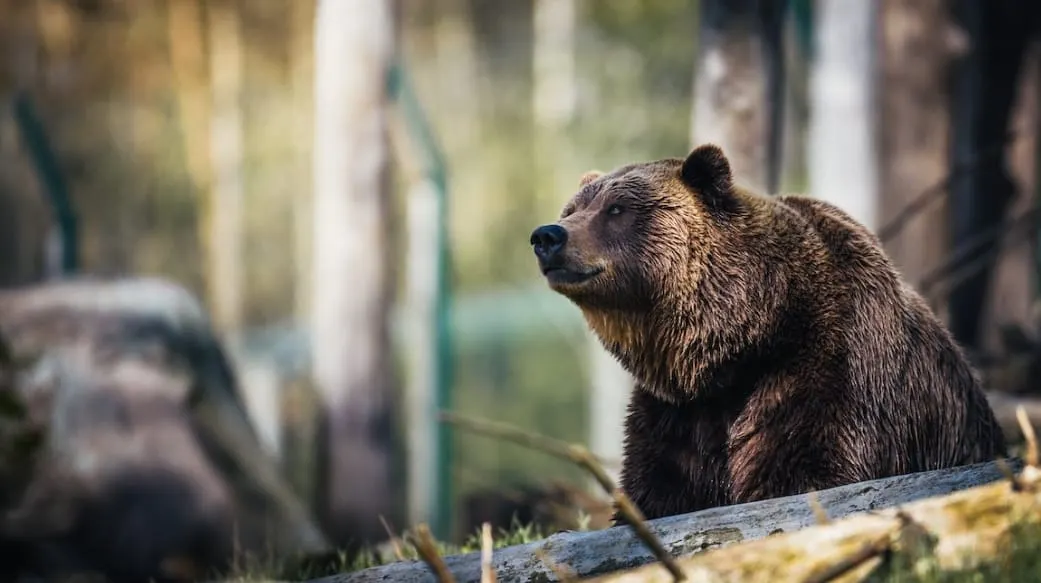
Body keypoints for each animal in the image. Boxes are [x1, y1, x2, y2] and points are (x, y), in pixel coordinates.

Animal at [529, 143, 1008, 522]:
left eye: (617, 209)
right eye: (573, 209)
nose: (548, 235)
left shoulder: (828, 368)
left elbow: (805, 470)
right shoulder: (678, 414)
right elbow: (658, 490)